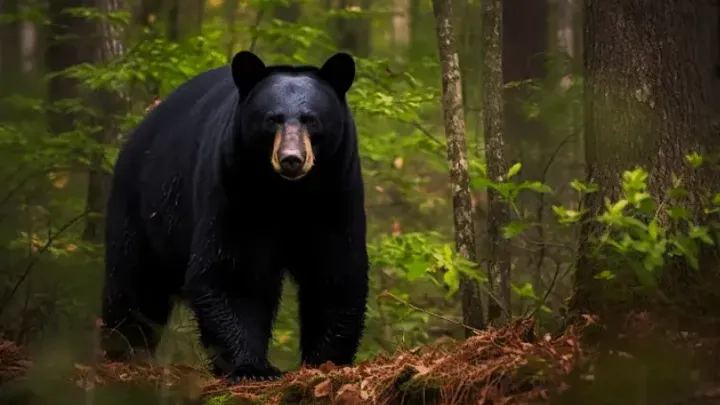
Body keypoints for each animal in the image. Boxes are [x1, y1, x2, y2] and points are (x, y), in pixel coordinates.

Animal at [100, 50, 370, 381]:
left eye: (311, 119)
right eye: (272, 120)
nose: (291, 159)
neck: (288, 194)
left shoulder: (336, 193)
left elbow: (334, 271)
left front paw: (325, 361)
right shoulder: (233, 188)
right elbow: (233, 273)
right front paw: (251, 368)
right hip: (142, 208)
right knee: (134, 283)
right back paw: (123, 351)